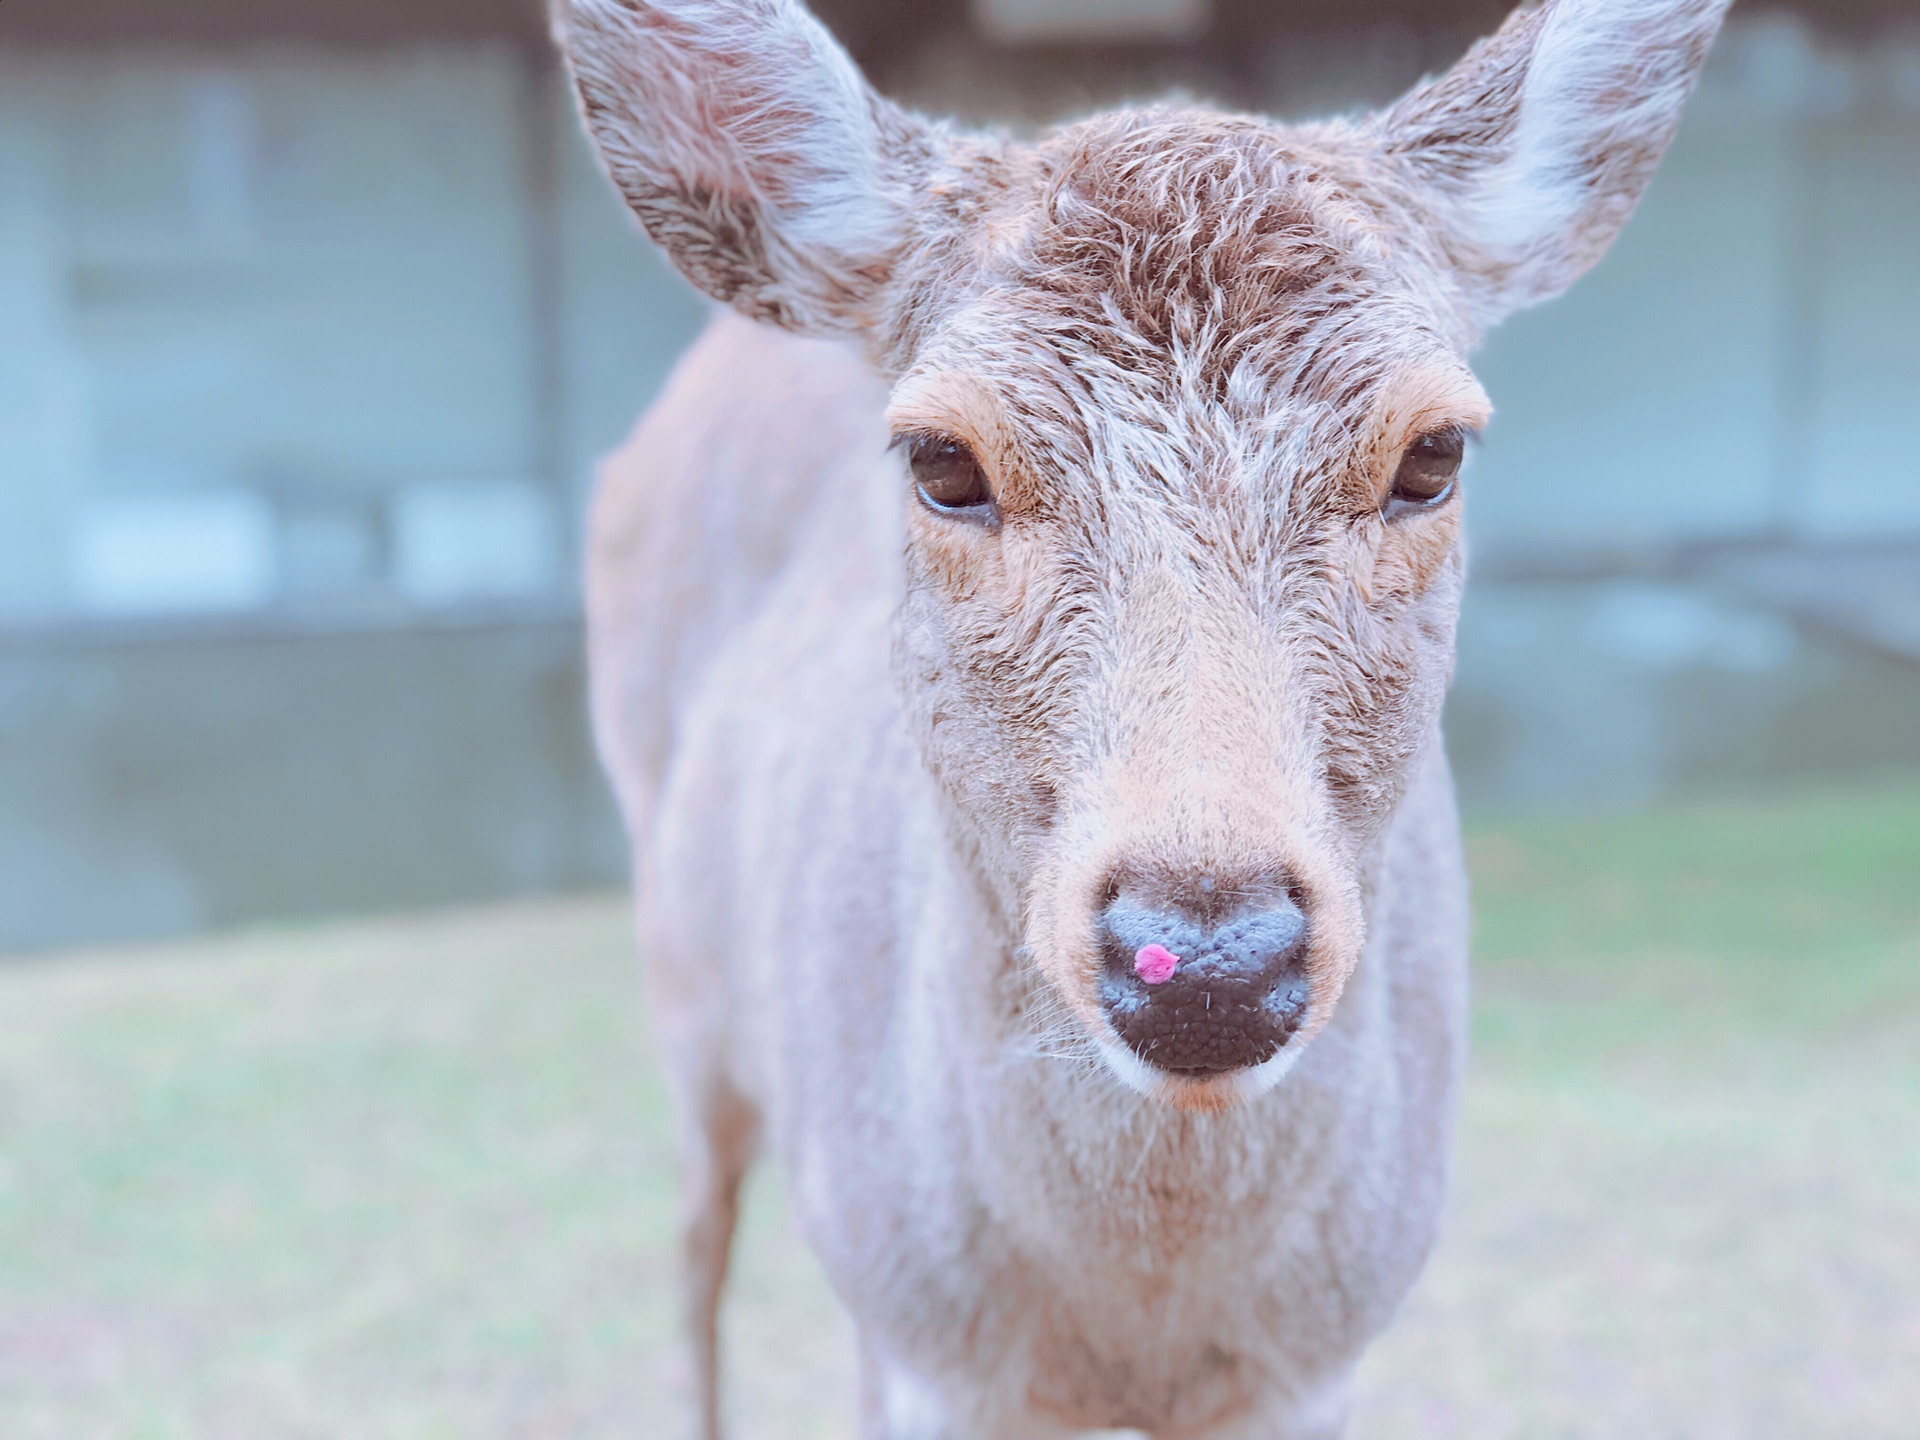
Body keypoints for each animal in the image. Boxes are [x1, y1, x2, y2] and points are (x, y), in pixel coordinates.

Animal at [560, 0, 1735, 1436]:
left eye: (1434, 454)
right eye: (942, 460)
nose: (1210, 958)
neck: (1139, 1319)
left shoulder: (1318, 1356)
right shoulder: (933, 1345)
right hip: (687, 986)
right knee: (694, 1243)